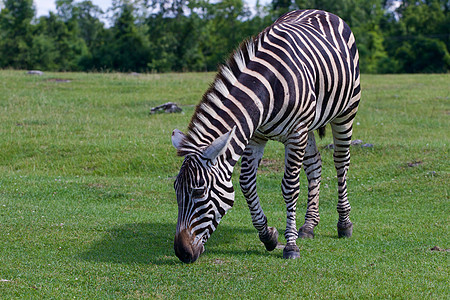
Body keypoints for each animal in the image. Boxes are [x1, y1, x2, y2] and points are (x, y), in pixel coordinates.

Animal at [171, 9, 360, 262]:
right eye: (176, 189)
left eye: (199, 192)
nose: (182, 253)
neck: (267, 88)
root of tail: (321, 11)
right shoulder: (255, 135)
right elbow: (246, 183)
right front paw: (268, 236)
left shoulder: (295, 133)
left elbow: (290, 187)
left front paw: (291, 246)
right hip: (309, 125)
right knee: (314, 164)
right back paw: (309, 225)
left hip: (346, 111)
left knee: (341, 163)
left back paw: (344, 224)